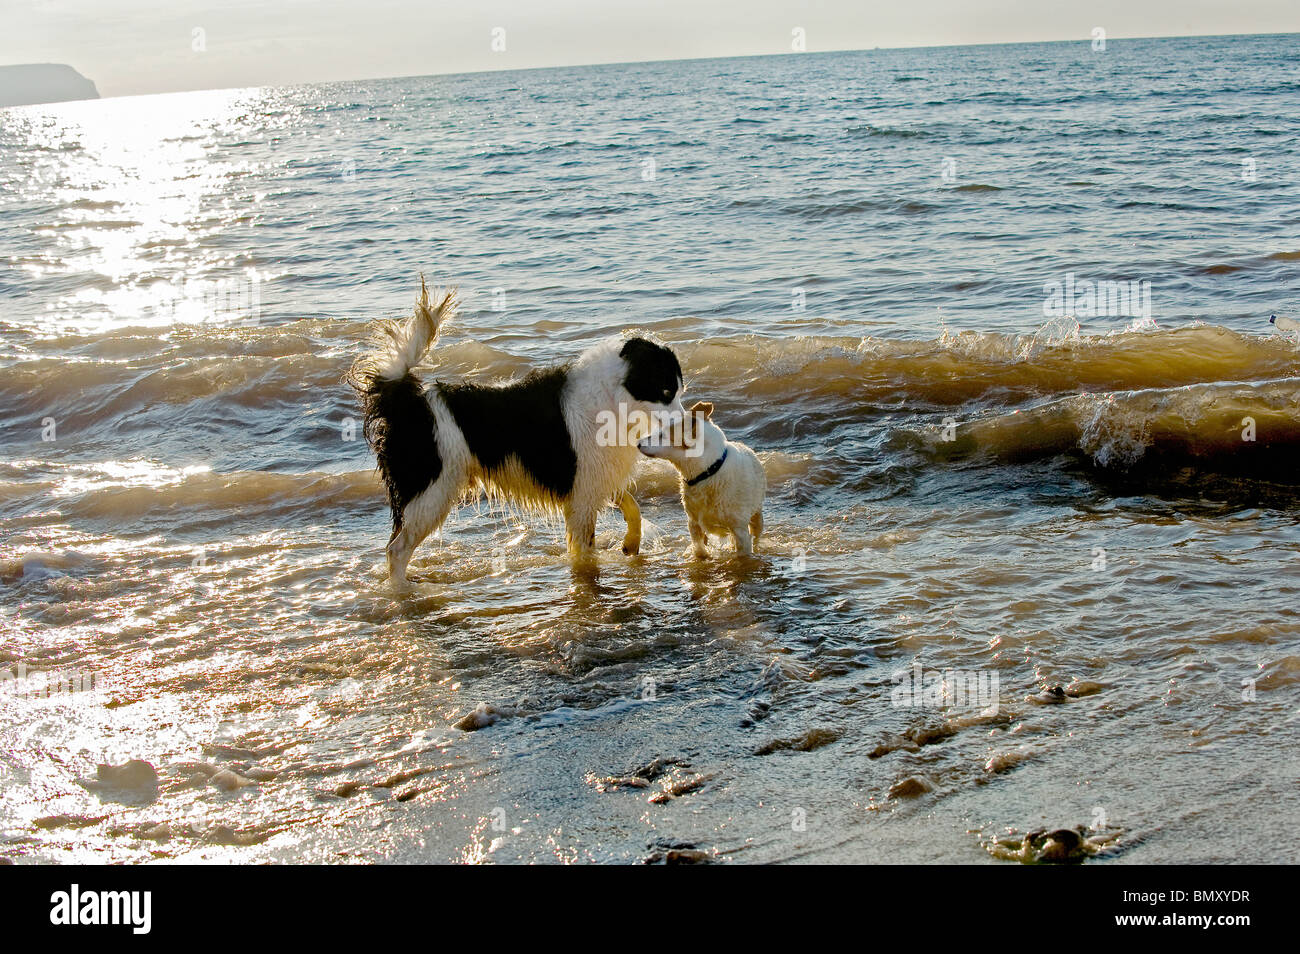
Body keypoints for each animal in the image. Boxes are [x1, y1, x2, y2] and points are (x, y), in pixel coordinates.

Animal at [351, 280, 686, 587]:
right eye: (666, 391)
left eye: (680, 391)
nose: (686, 425)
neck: (614, 395)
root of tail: (408, 401)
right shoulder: (581, 493)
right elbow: (585, 547)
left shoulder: (595, 476)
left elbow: (632, 505)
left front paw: (630, 545)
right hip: (431, 489)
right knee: (396, 549)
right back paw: (404, 592)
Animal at [637, 400, 759, 556]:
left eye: (661, 435)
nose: (638, 444)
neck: (707, 473)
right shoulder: (693, 522)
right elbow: (699, 548)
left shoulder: (740, 530)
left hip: (756, 514)